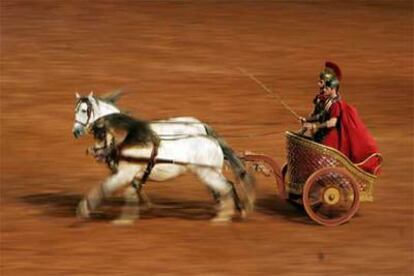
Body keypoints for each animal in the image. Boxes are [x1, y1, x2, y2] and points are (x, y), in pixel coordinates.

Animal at [71, 92, 254, 224]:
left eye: (84, 110)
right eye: (75, 110)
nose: (76, 132)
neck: (130, 135)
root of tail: (203, 127)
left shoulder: (123, 171)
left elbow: (111, 187)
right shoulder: (126, 172)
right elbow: (132, 190)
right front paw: (138, 211)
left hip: (206, 171)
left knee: (222, 186)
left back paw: (226, 211)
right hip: (209, 171)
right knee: (224, 186)